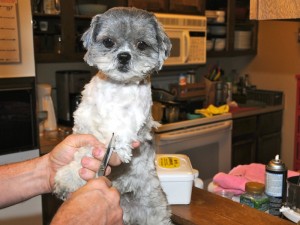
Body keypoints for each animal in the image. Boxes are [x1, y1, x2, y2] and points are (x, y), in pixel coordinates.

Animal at [52, 7, 172, 225]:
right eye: (108, 42)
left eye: (142, 44)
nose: (124, 56)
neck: (117, 90)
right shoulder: (86, 128)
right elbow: (82, 153)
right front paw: (68, 179)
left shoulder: (122, 133)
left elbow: (94, 152)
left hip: (156, 211)